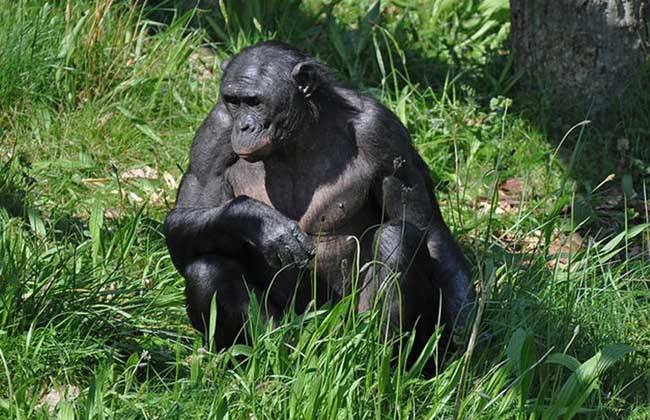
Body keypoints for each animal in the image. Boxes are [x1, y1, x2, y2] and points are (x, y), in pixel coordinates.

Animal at [165, 40, 474, 354]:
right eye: (232, 101)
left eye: (254, 102)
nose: (243, 126)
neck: (297, 134)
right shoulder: (213, 133)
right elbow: (185, 219)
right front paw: (259, 221)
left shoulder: (384, 132)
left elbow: (427, 230)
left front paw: (462, 332)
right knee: (206, 268)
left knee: (397, 238)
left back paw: (380, 357)